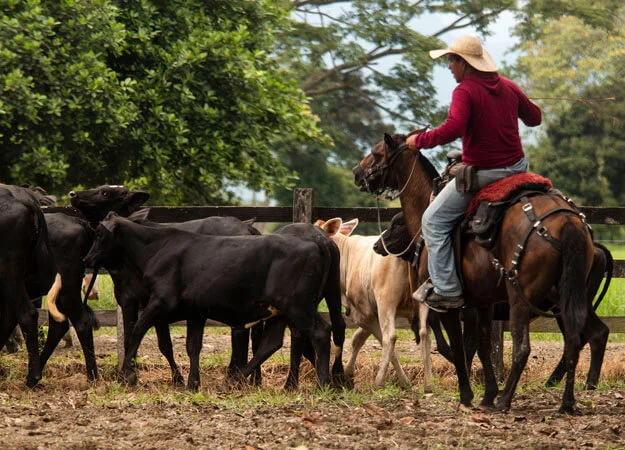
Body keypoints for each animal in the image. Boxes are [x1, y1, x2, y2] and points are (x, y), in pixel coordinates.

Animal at [85, 213, 334, 388]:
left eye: (98, 234)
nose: (87, 259)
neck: (157, 248)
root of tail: (315, 243)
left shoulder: (159, 303)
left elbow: (136, 332)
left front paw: (128, 374)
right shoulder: (195, 312)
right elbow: (192, 347)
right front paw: (192, 383)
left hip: (298, 307)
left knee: (320, 332)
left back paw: (322, 383)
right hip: (280, 312)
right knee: (271, 343)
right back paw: (235, 381)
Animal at [314, 218, 432, 390]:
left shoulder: (363, 314)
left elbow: (379, 342)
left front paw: (403, 381)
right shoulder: (368, 313)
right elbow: (357, 338)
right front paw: (348, 372)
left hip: (386, 301)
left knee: (390, 337)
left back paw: (379, 380)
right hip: (421, 301)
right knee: (424, 333)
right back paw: (429, 383)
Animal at [356, 132, 604, 414]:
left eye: (376, 153)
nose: (356, 173)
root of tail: (566, 221)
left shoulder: (450, 307)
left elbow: (459, 346)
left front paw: (466, 395)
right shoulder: (483, 304)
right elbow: (484, 346)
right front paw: (487, 394)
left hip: (523, 299)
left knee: (525, 347)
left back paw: (508, 399)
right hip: (567, 300)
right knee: (578, 339)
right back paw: (567, 400)